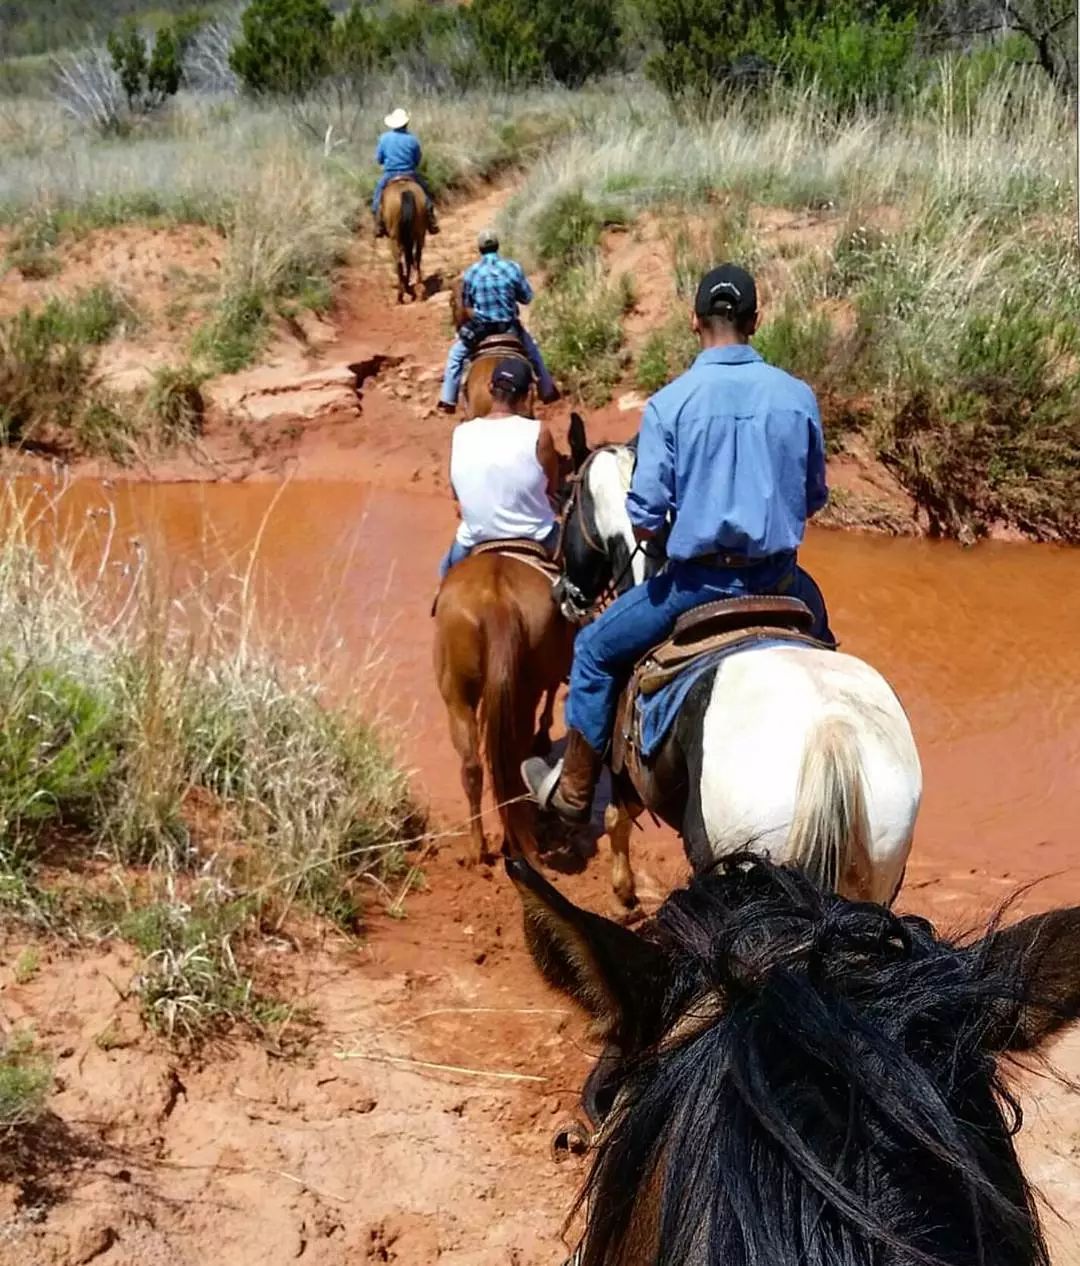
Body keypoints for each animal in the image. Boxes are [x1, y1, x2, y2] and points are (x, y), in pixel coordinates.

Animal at [557, 420, 916, 916]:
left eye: (567, 505)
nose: (566, 595)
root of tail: (832, 732)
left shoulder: (622, 768)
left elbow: (616, 819)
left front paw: (625, 895)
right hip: (880, 870)